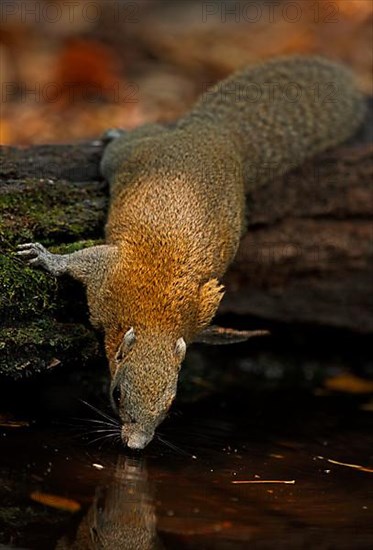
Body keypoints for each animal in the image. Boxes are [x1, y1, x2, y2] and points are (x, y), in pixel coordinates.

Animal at [17, 56, 364, 450]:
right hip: (130, 156)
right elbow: (81, 261)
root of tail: (216, 134)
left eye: (170, 404)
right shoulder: (108, 278)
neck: (153, 319)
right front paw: (46, 257)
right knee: (128, 143)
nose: (137, 445)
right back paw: (117, 133)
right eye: (116, 394)